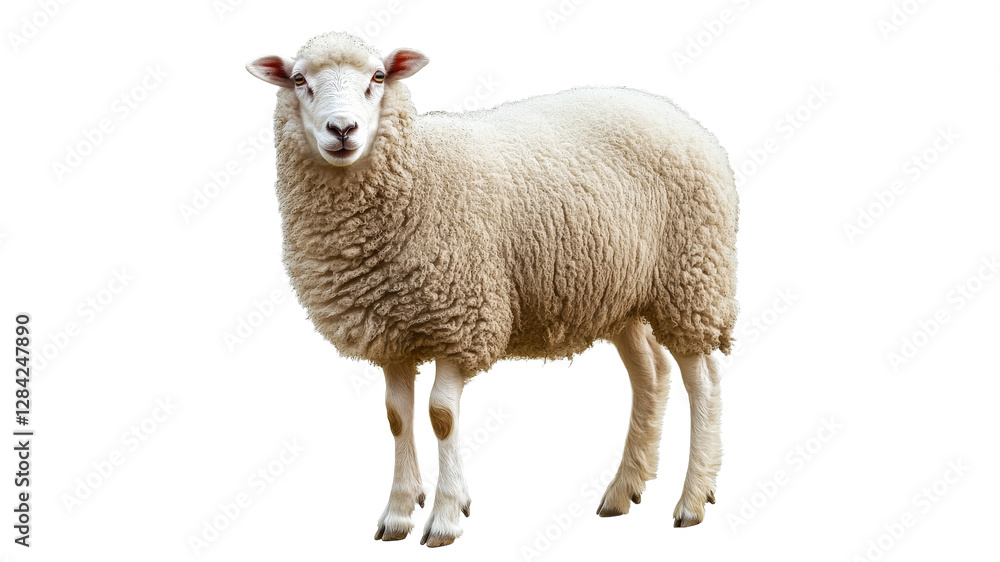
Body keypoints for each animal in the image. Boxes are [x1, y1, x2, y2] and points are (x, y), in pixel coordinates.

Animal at [247, 31, 738, 547]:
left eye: (377, 77)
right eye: (299, 80)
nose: (342, 129)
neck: (416, 175)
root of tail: (675, 113)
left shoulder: (460, 319)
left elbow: (441, 416)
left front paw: (445, 516)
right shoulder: (393, 330)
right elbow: (396, 416)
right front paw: (398, 513)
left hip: (691, 282)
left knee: (702, 381)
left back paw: (692, 499)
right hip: (619, 292)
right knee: (651, 374)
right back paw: (624, 489)